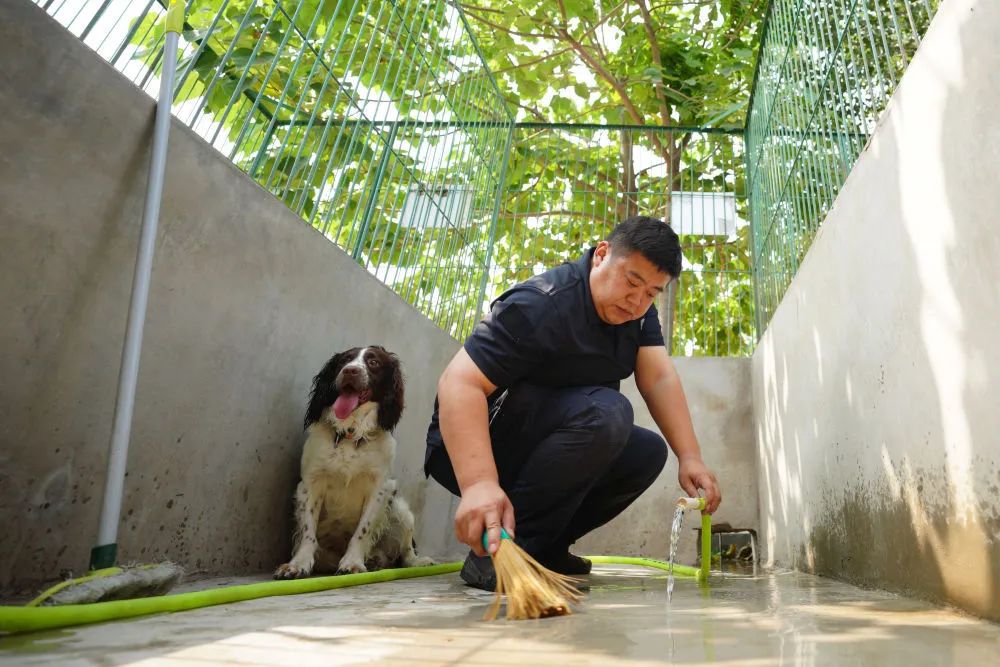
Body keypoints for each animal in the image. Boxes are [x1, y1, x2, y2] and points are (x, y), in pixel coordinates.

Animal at [274, 348, 430, 576]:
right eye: (344, 360)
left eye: (373, 362)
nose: (350, 371)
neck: (350, 434)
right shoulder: (310, 484)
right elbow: (308, 531)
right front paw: (298, 564)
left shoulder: (379, 489)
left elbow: (363, 530)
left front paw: (353, 562)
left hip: (402, 510)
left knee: (407, 549)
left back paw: (412, 561)